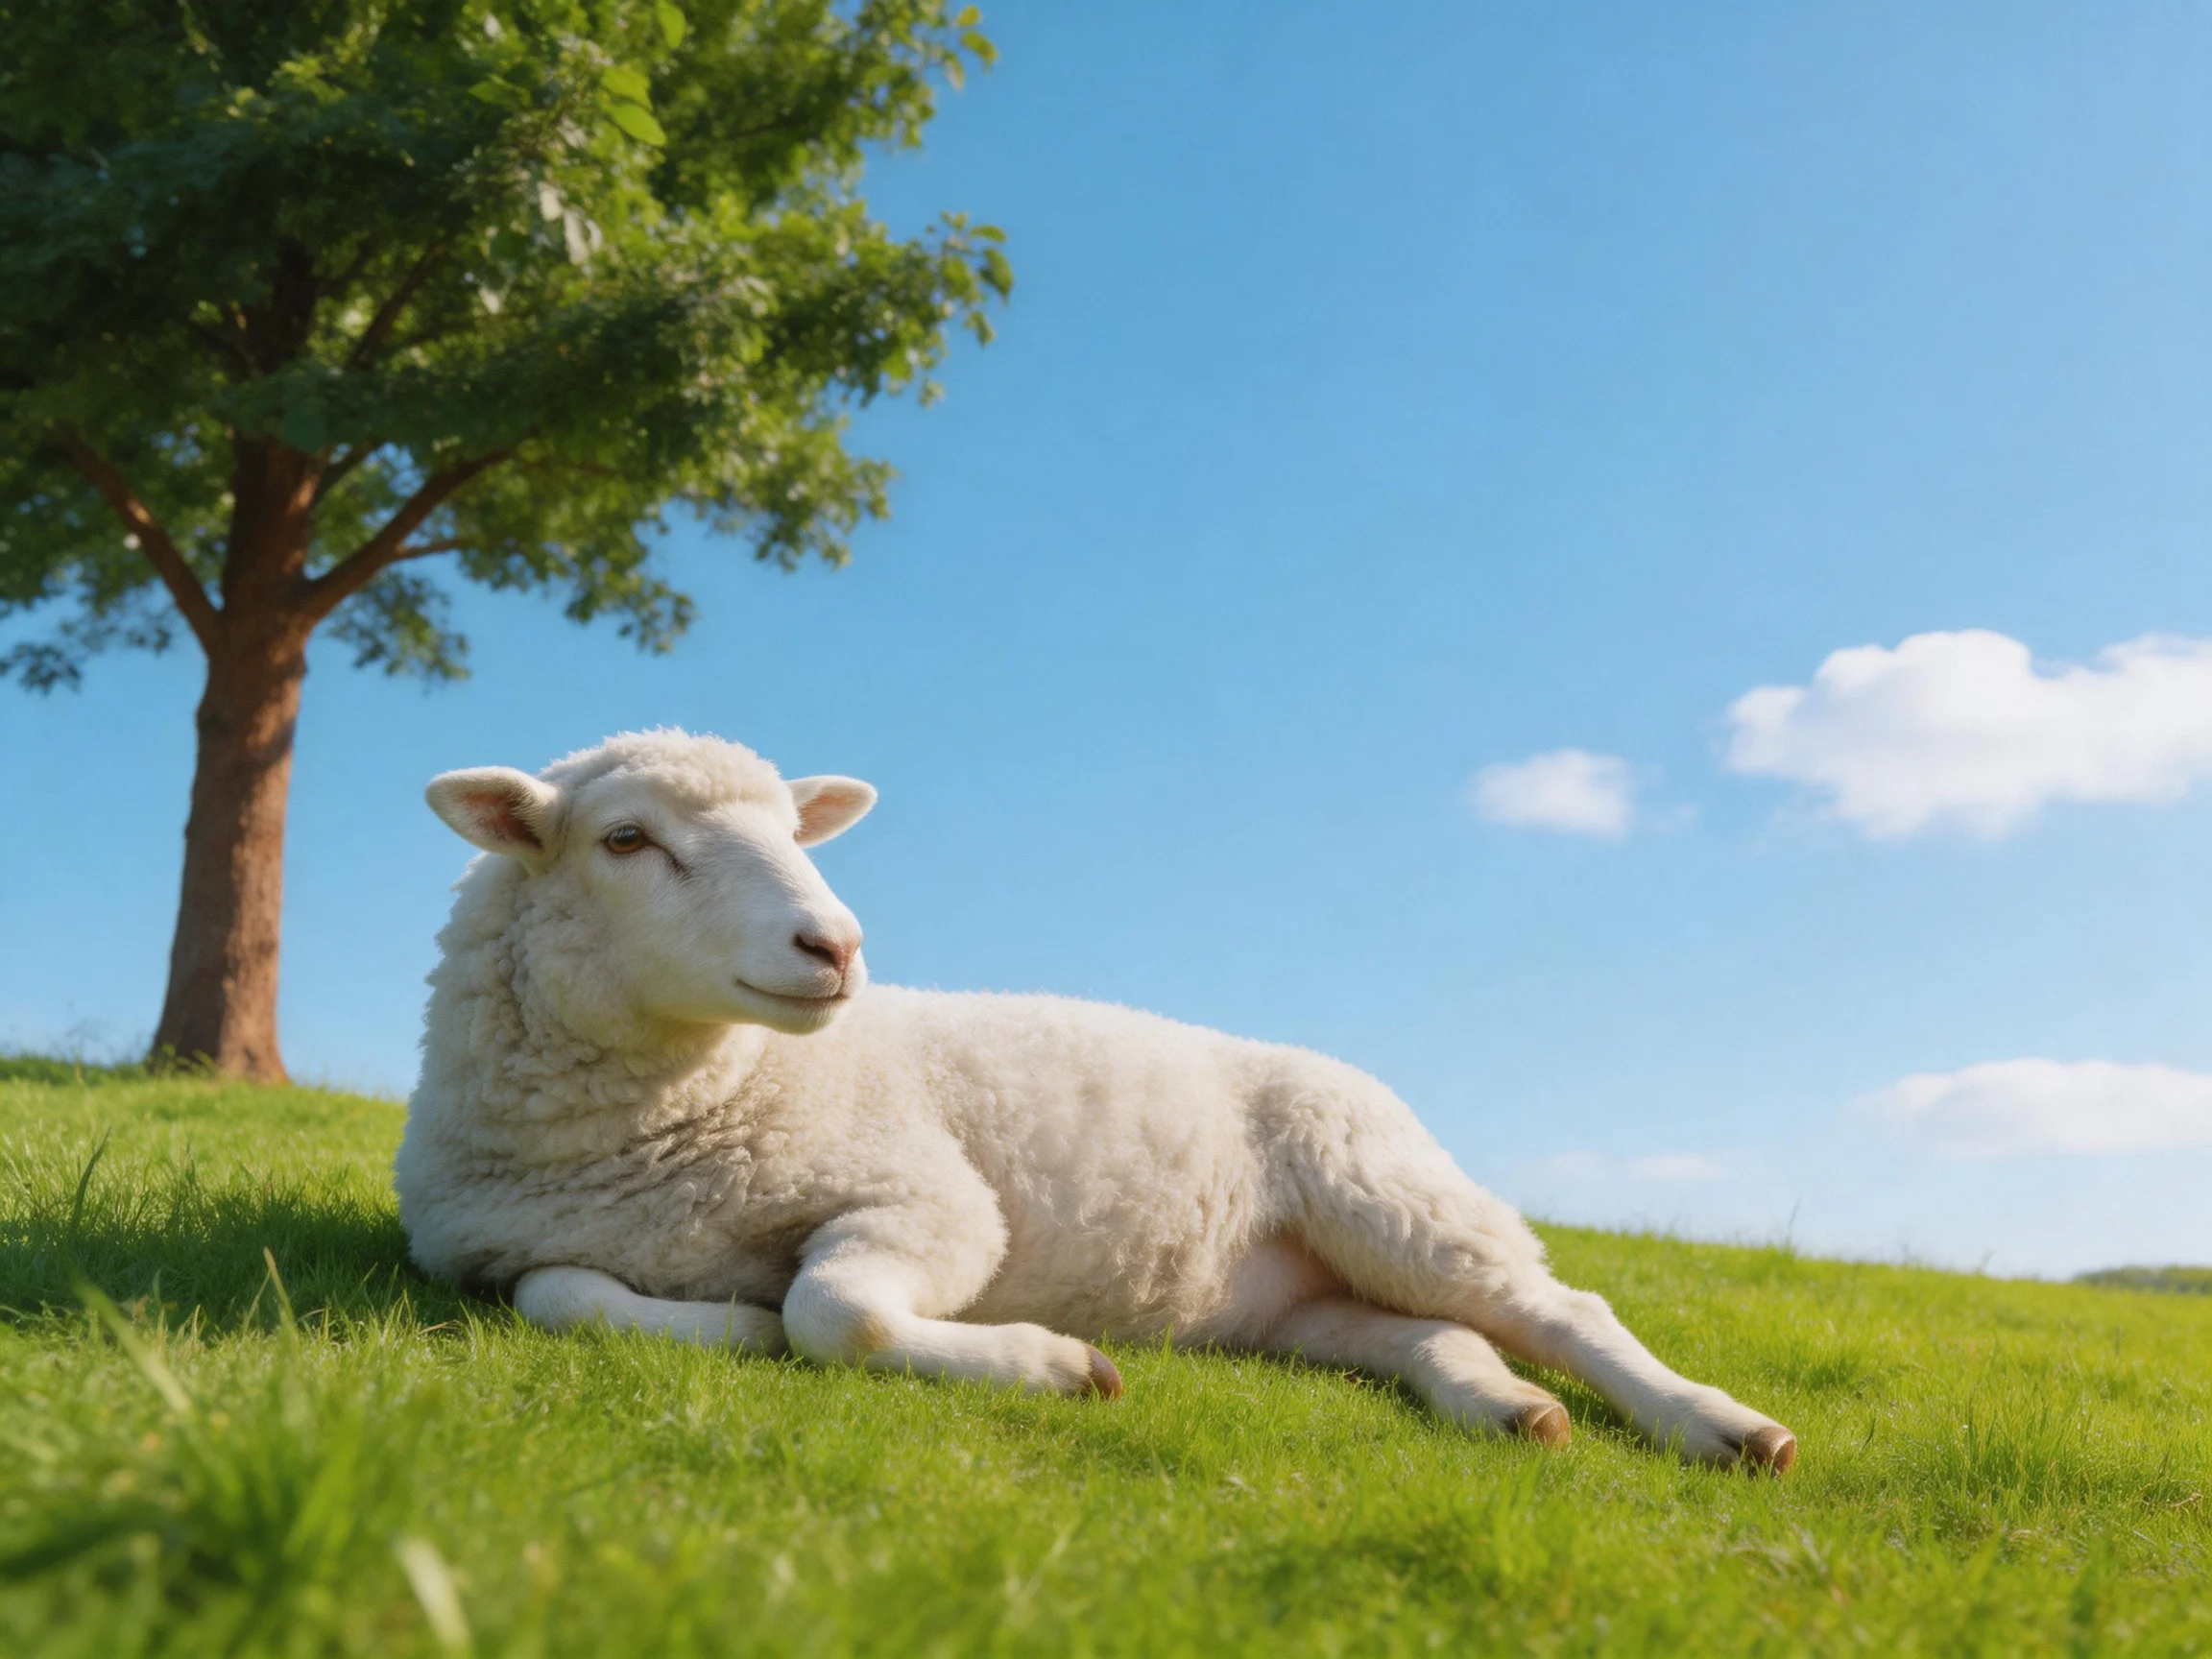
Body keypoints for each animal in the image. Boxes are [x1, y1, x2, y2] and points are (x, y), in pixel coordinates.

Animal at [394, 728, 1797, 1472]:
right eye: (625, 840)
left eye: (800, 834)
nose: (836, 947)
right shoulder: (492, 1252)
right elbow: (563, 1296)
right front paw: (729, 1328)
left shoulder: (931, 1201)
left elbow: (835, 1311)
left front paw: (1056, 1368)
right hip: (1296, 1305)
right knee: (1432, 1336)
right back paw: (1507, 1410)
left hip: (1386, 1185)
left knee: (1563, 1308)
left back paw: (1718, 1427)